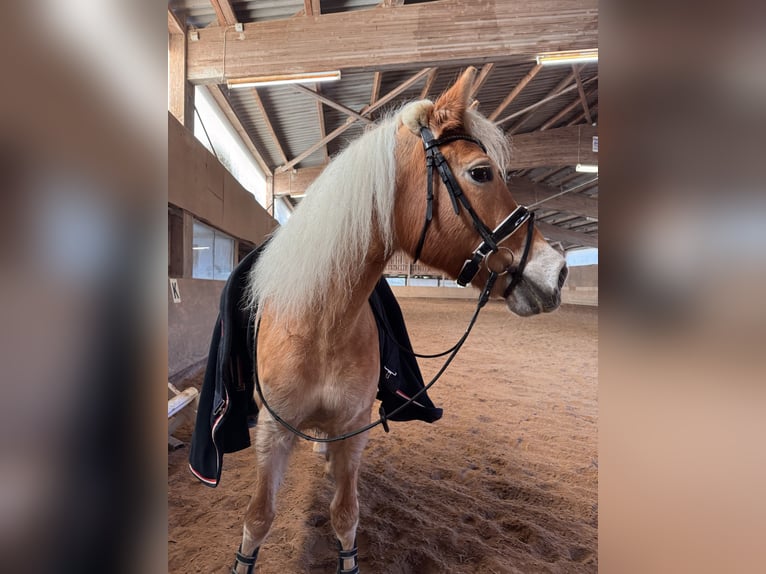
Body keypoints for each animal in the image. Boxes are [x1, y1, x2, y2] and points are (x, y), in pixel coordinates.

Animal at [231, 68, 568, 574]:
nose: (558, 271)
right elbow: (257, 519)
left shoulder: (354, 429)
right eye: (481, 172)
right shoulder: (273, 433)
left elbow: (345, 515)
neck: (319, 327)